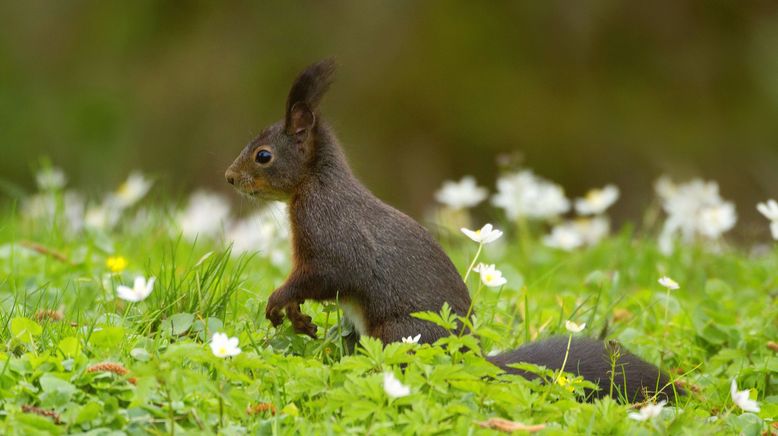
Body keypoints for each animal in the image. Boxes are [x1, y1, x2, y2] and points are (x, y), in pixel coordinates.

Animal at [224, 59, 680, 404]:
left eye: (263, 156)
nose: (230, 178)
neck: (315, 184)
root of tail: (473, 360)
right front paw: (298, 317)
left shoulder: (331, 237)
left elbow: (323, 276)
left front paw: (279, 303)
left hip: (397, 334)